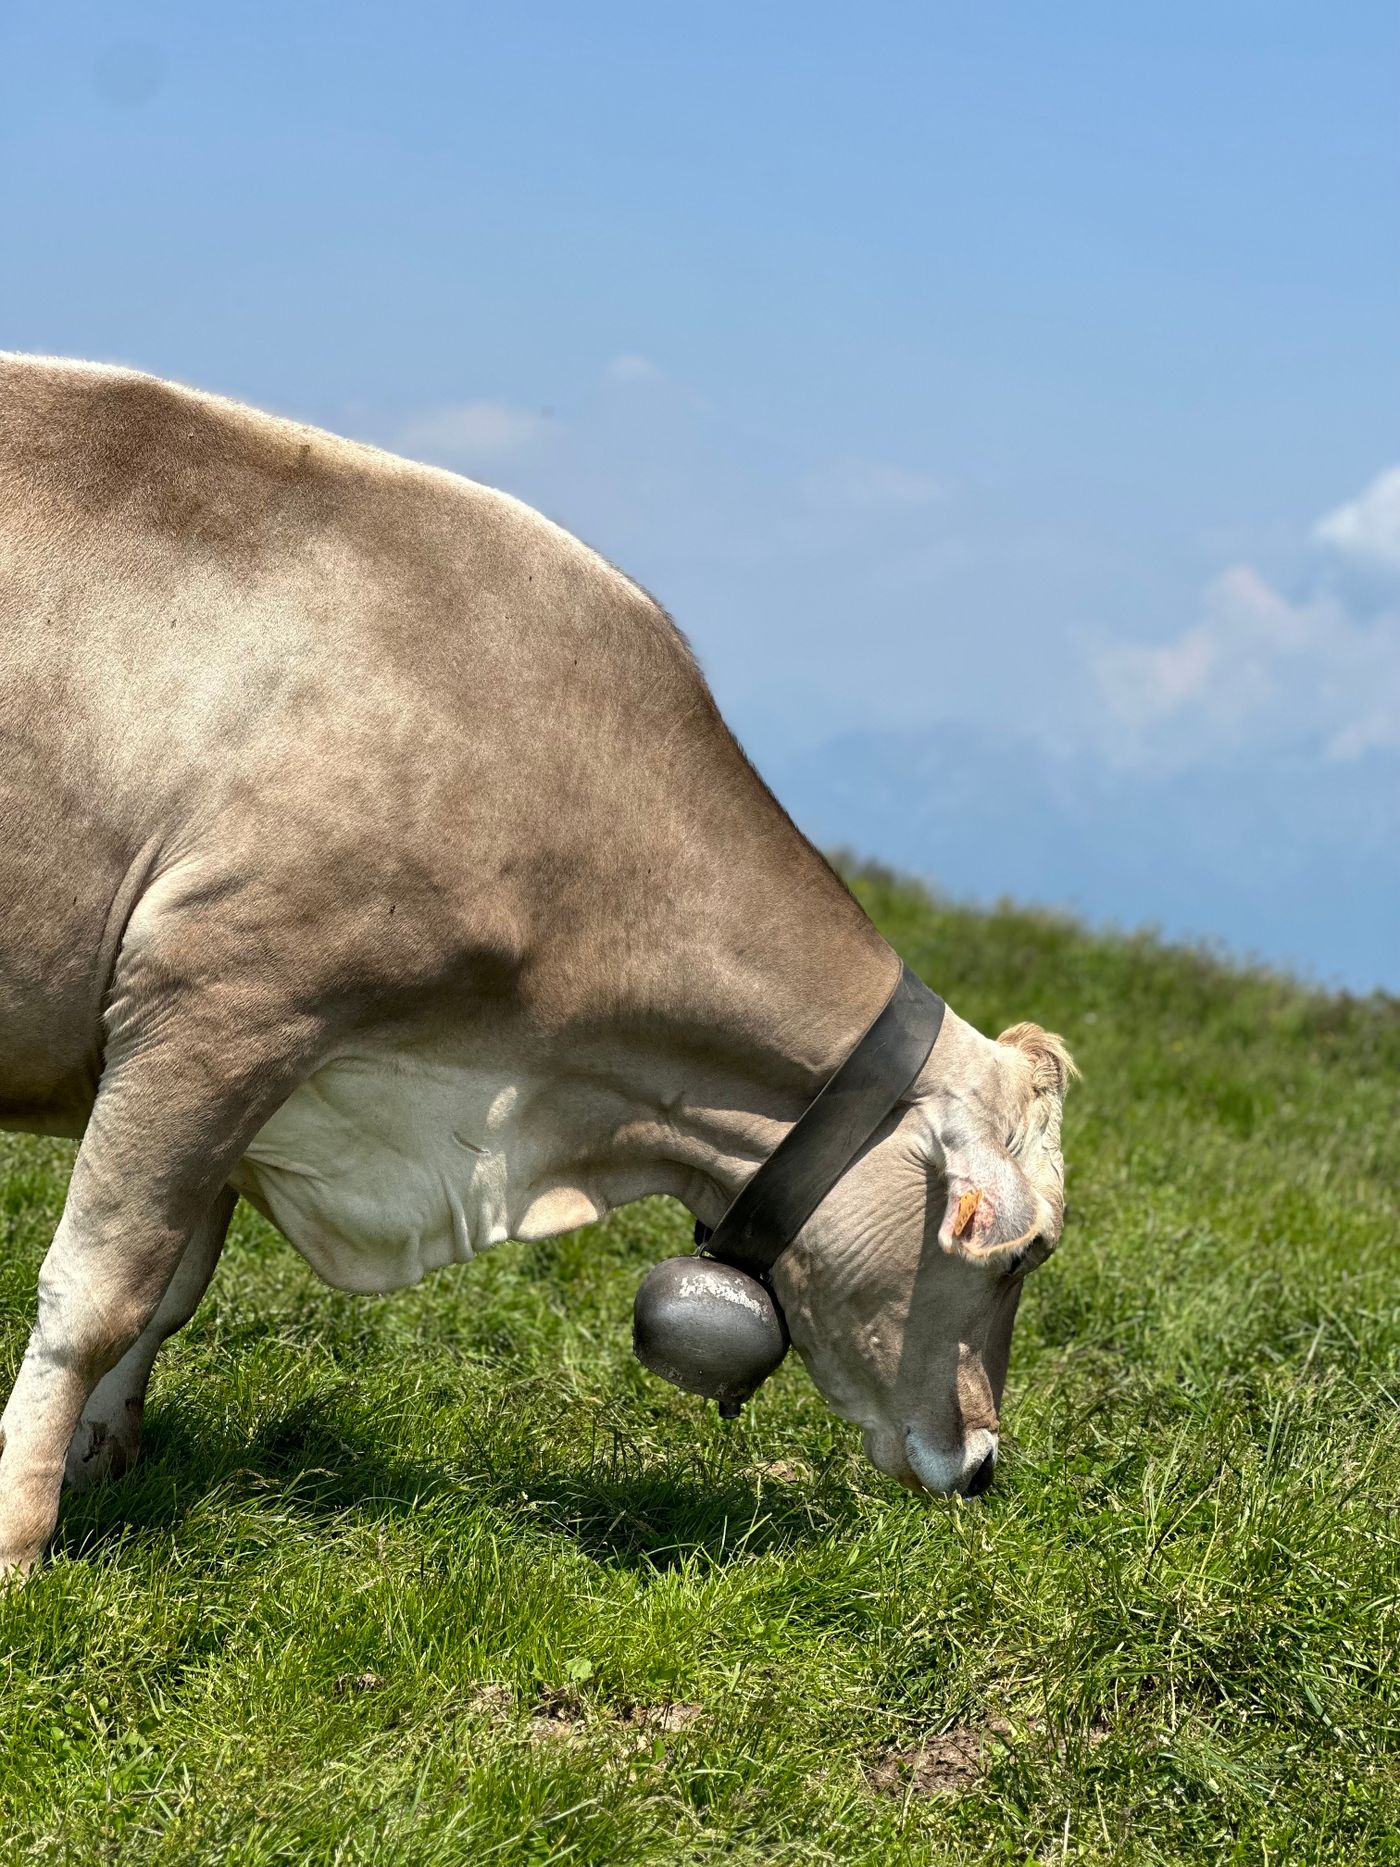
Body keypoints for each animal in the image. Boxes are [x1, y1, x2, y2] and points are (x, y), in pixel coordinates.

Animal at [0, 355, 1075, 1574]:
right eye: (1023, 1255)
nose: (982, 1463)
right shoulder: (223, 1001)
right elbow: (101, 1290)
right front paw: (21, 1533)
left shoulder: (258, 1067)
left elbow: (172, 1285)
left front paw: (98, 1461)